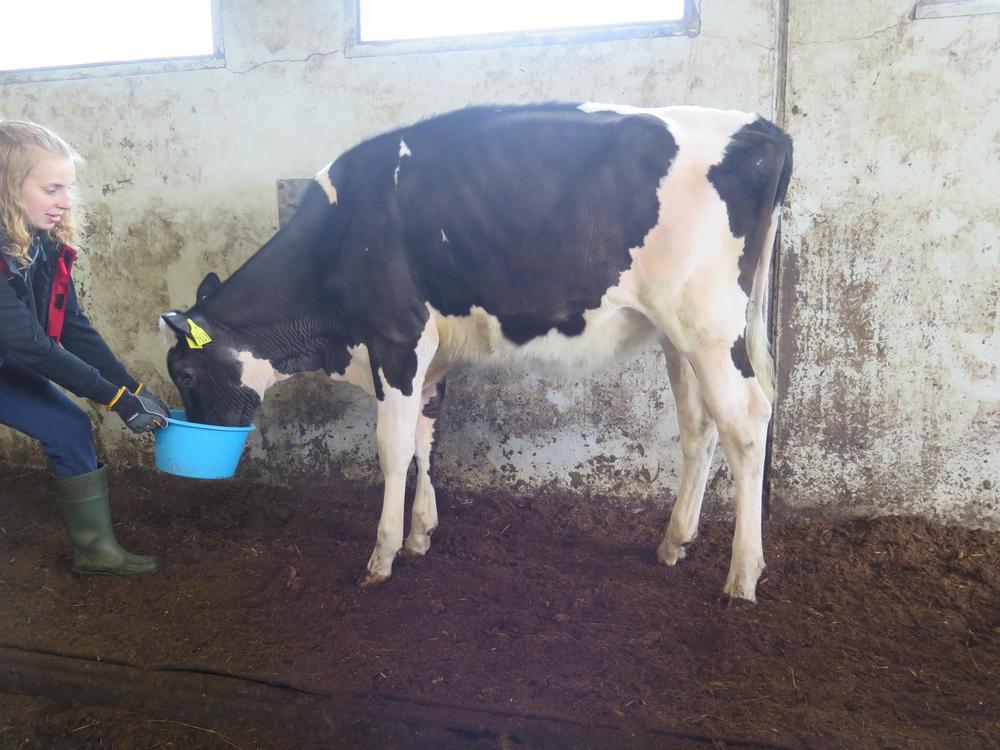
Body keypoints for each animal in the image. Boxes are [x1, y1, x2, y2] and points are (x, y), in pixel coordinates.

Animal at [161, 103, 792, 603]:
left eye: (185, 371)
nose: (202, 441)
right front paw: (420, 535)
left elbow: (392, 449)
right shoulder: (429, 357)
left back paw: (743, 577)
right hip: (678, 335)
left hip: (709, 325)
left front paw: (382, 555)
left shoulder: (398, 339)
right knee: (699, 427)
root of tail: (760, 127)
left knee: (746, 423)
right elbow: (425, 439)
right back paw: (673, 542)